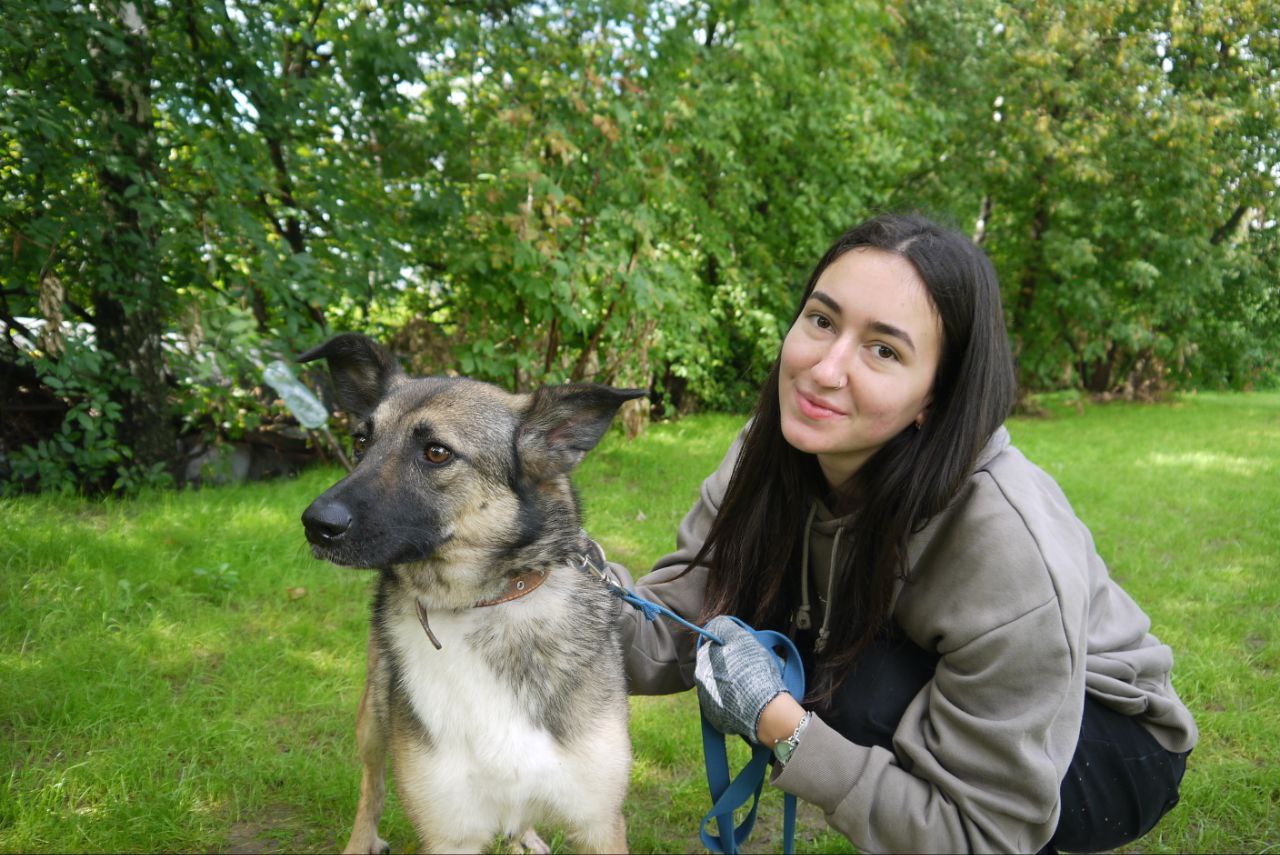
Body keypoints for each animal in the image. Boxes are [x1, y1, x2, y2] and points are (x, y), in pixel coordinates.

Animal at [299, 332, 640, 855]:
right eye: (360, 441)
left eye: (437, 453)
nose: (316, 524)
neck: (480, 606)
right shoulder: (449, 832)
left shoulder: (599, 822)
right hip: (374, 717)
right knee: (371, 785)